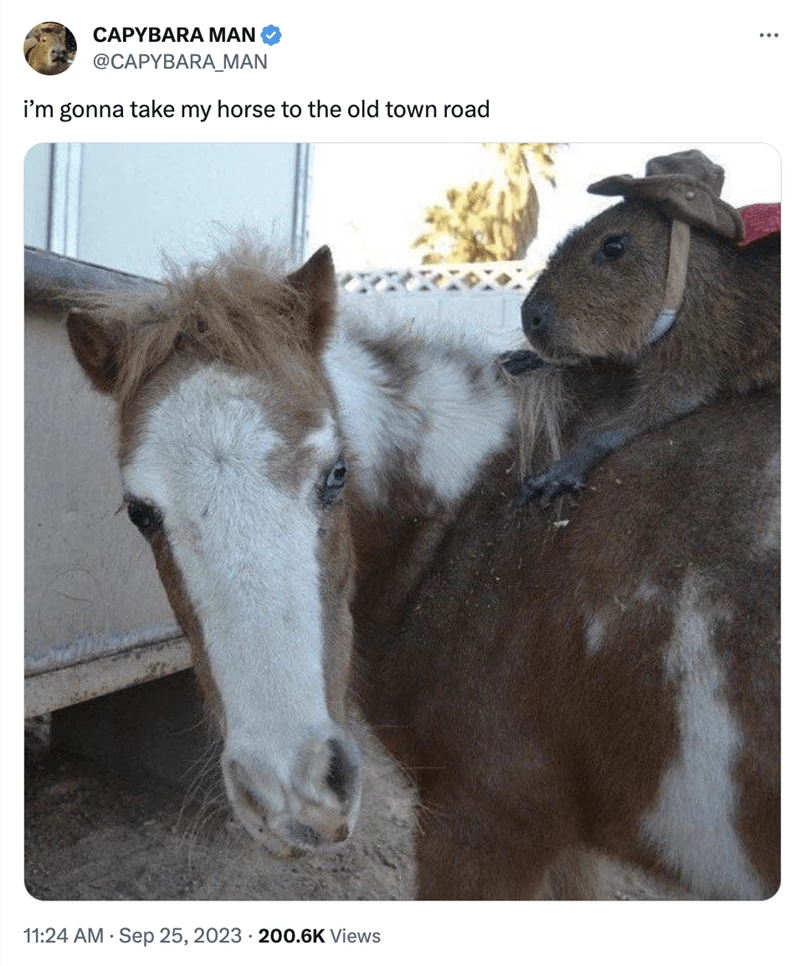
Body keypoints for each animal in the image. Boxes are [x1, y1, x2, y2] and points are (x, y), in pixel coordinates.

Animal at [65, 240, 780, 900]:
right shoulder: (567, 844)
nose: (293, 792)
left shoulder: (484, 827)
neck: (495, 521)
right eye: (141, 512)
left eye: (337, 474)